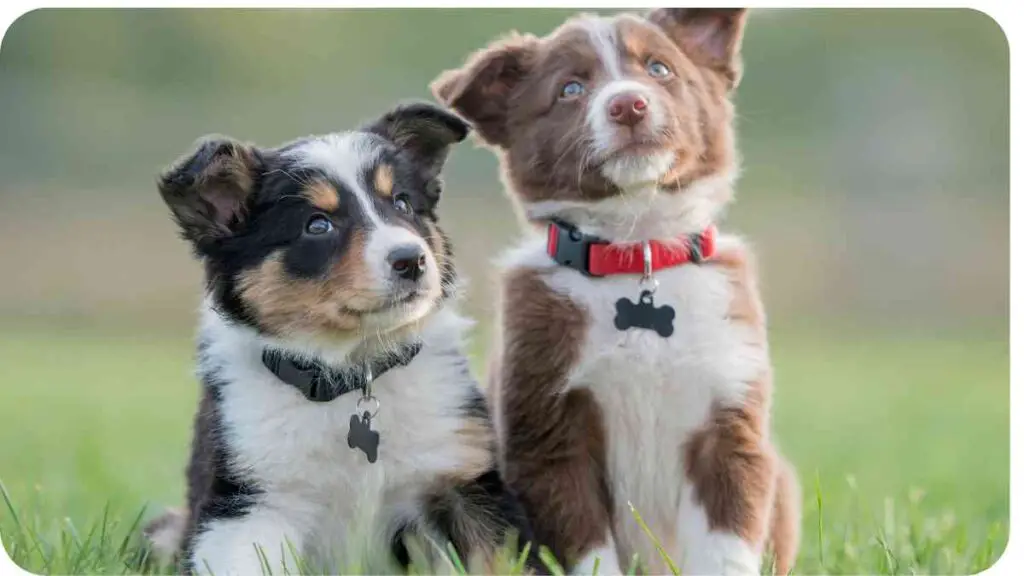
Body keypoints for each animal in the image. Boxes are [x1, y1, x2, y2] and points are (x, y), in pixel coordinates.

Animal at [432, 8, 798, 573]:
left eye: (659, 68)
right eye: (571, 88)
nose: (629, 104)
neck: (636, 249)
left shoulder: (730, 420)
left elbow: (727, 542)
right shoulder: (548, 434)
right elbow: (588, 547)